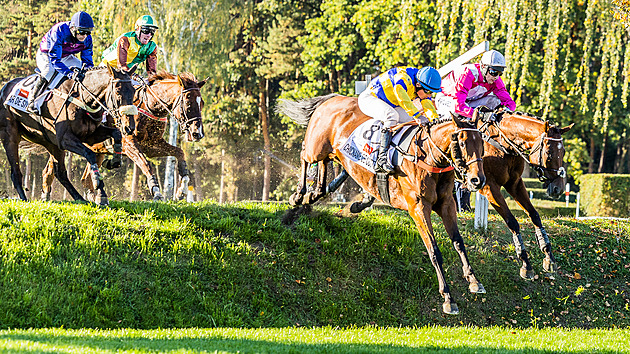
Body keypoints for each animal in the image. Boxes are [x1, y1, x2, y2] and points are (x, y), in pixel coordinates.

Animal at [0, 65, 138, 205]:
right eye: (118, 92)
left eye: (133, 91)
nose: (130, 127)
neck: (82, 98)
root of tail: (5, 88)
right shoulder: (65, 139)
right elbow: (89, 154)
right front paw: (100, 189)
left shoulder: (90, 135)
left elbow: (117, 134)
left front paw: (114, 161)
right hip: (10, 137)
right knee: (15, 173)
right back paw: (24, 199)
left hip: (51, 143)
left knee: (60, 173)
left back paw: (79, 198)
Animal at [42, 70, 210, 201]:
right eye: (188, 104)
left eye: (201, 104)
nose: (197, 133)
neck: (148, 106)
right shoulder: (129, 143)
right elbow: (146, 164)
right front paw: (156, 192)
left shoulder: (152, 144)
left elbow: (179, 153)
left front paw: (182, 190)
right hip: (62, 143)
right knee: (49, 170)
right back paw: (46, 196)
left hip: (97, 150)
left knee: (86, 178)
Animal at [280, 94, 488, 316]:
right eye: (463, 143)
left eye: (482, 143)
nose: (478, 180)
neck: (429, 156)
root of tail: (332, 98)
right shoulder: (418, 207)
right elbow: (433, 251)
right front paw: (448, 298)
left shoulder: (446, 203)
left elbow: (458, 242)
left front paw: (474, 281)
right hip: (316, 147)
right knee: (304, 154)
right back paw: (298, 195)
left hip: (331, 153)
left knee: (322, 170)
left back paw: (313, 196)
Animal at [476, 110, 576, 280]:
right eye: (549, 153)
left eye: (563, 152)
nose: (558, 188)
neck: (502, 144)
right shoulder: (490, 187)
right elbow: (512, 222)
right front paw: (525, 262)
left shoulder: (515, 184)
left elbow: (534, 215)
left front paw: (548, 255)